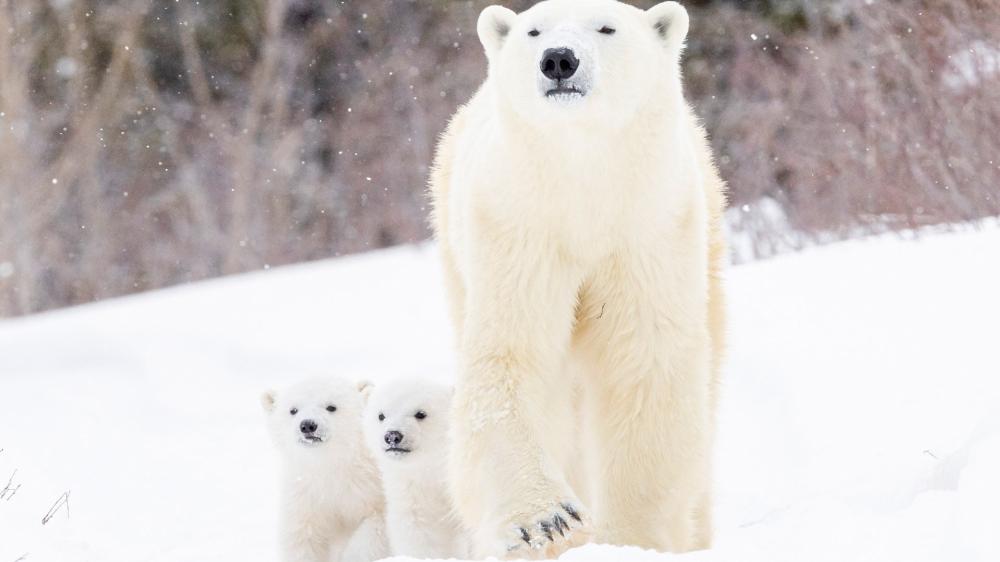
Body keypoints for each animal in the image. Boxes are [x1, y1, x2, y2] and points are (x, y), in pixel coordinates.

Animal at [261, 377, 389, 562]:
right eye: (293, 410)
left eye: (331, 407)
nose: (307, 425)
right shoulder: (306, 494)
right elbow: (303, 537)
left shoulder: (373, 486)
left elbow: (377, 526)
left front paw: (352, 555)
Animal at [428, 0, 727, 559]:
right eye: (534, 30)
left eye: (606, 27)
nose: (559, 60)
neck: (582, 176)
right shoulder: (517, 227)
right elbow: (510, 356)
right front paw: (548, 521)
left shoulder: (647, 228)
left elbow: (645, 361)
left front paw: (633, 536)